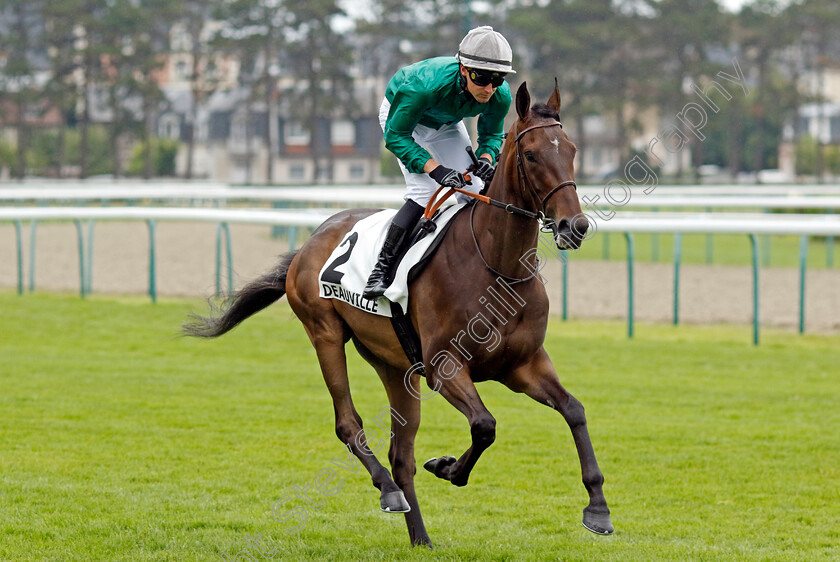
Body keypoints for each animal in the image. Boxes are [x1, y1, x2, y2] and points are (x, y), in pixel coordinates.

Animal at [184, 81, 612, 544]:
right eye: (531, 155)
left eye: (571, 150)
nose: (575, 226)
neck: (498, 266)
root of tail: (310, 241)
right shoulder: (445, 366)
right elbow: (484, 425)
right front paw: (447, 467)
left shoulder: (523, 364)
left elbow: (574, 410)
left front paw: (598, 508)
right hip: (325, 334)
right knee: (349, 424)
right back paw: (388, 490)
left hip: (395, 366)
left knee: (400, 453)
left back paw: (420, 536)